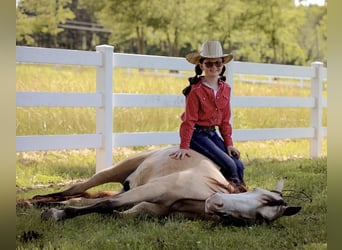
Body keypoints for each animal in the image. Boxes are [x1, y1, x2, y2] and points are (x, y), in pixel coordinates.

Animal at [18, 146, 302, 224]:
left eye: (258, 218)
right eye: (261, 196)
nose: (216, 204)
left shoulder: (148, 205)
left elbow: (113, 209)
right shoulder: (152, 190)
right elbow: (105, 203)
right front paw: (57, 215)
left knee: (81, 196)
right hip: (118, 170)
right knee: (76, 189)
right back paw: (31, 202)